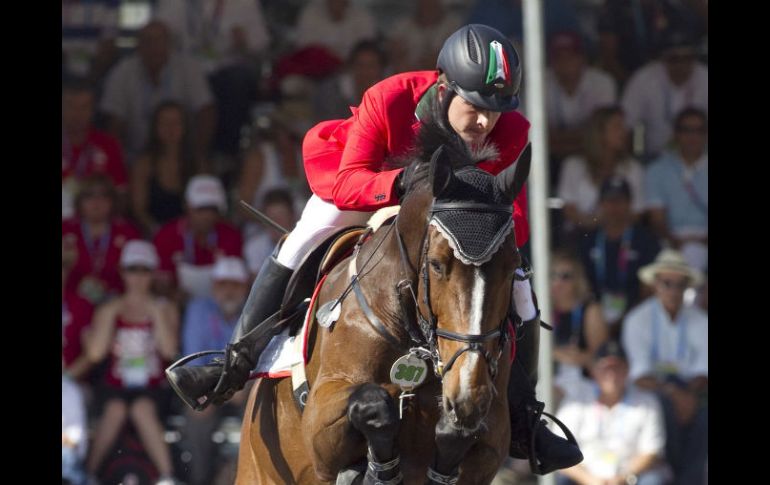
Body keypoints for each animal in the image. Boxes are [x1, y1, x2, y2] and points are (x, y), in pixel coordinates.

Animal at [237, 124, 532, 480]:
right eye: (436, 264)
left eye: (512, 266)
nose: (466, 396)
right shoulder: (321, 425)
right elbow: (374, 405)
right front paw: (374, 472)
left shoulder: (491, 437)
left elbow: (459, 434)